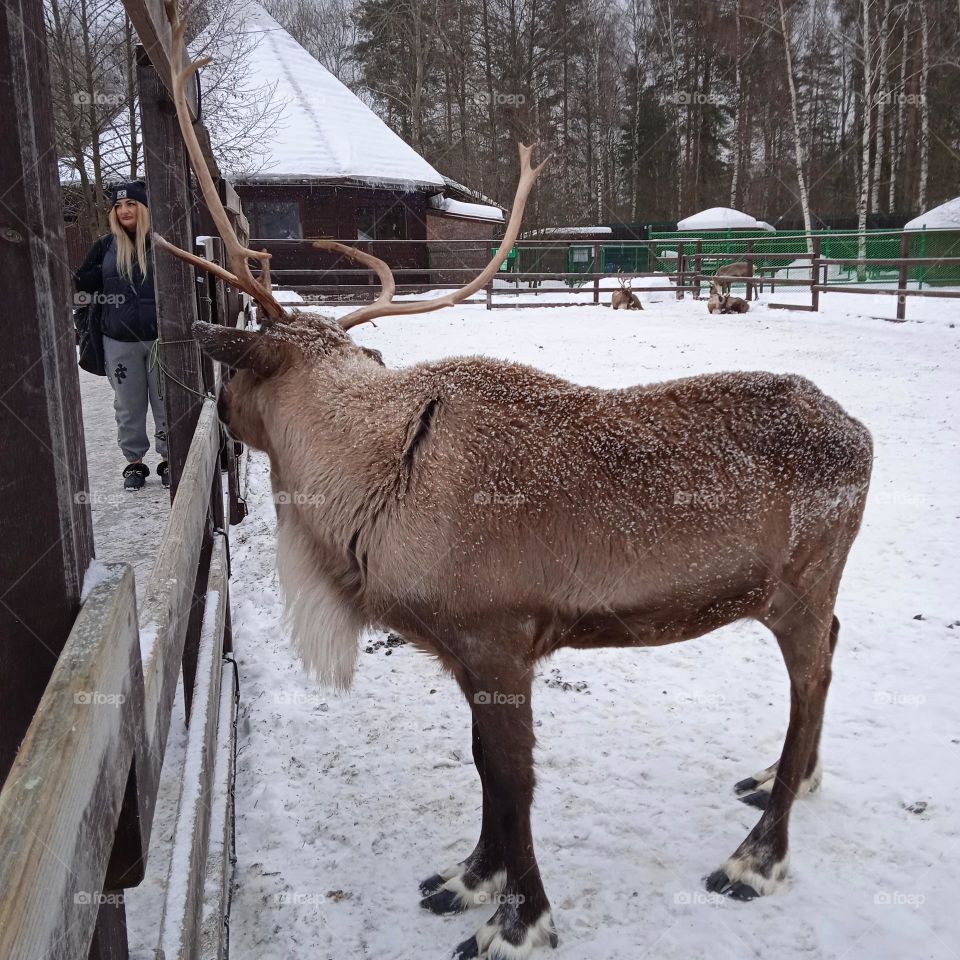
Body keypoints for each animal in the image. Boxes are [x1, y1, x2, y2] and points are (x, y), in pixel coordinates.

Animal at [154, 5, 873, 957]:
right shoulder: (461, 649)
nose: (224, 412)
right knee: (832, 648)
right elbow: (483, 771)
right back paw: (785, 780)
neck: (367, 483)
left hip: (797, 583)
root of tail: (863, 433)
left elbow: (515, 778)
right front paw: (469, 878)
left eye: (234, 374)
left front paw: (518, 917)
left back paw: (757, 854)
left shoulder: (500, 637)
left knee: (813, 672)